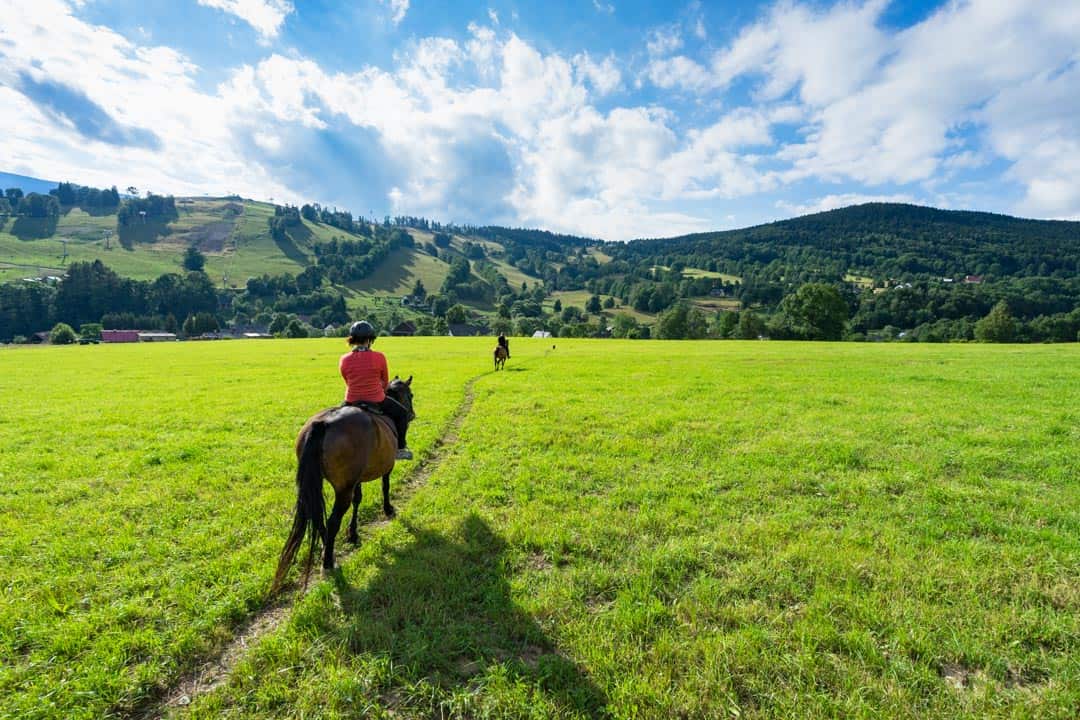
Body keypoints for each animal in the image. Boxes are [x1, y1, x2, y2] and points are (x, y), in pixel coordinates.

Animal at [272, 375, 414, 595]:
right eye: (410, 395)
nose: (412, 415)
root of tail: (323, 424)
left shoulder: (356, 479)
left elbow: (358, 500)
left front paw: (353, 533)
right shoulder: (385, 468)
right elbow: (385, 487)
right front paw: (388, 509)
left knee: (319, 519)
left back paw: (327, 552)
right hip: (343, 489)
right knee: (332, 521)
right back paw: (328, 564)